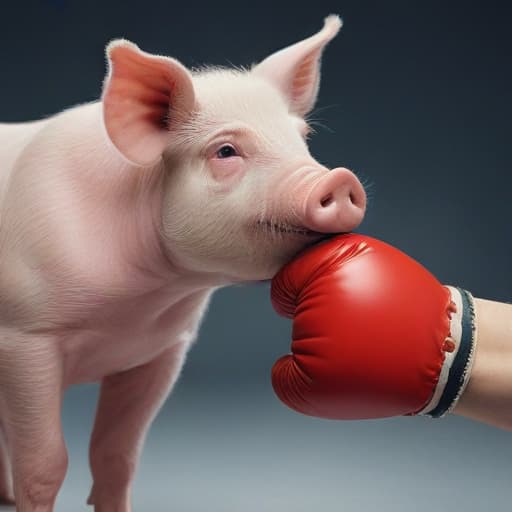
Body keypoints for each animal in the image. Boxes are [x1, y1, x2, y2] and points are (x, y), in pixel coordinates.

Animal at [1, 15, 368, 512]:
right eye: (226, 151)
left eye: (303, 139)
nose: (341, 179)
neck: (131, 309)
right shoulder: (25, 338)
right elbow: (45, 464)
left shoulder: (160, 349)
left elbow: (117, 455)